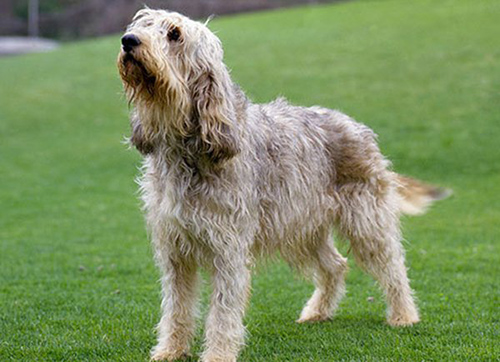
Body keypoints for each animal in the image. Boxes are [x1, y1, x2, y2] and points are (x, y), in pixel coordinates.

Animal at [117, 9, 450, 362]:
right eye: (142, 24)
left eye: (175, 34)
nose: (128, 41)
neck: (187, 150)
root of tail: (356, 125)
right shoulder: (175, 249)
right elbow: (176, 307)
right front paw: (170, 350)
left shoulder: (228, 250)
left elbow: (222, 312)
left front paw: (218, 354)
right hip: (304, 228)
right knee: (336, 266)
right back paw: (317, 311)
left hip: (365, 221)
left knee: (393, 267)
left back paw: (404, 315)